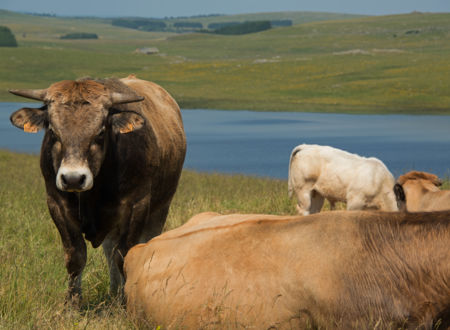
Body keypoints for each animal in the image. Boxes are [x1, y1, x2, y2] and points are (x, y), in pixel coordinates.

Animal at [10, 75, 186, 304]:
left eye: (101, 132)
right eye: (53, 131)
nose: (73, 178)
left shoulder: (136, 205)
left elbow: (124, 255)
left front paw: (124, 302)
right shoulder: (56, 204)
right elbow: (76, 256)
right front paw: (72, 303)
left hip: (160, 209)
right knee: (109, 250)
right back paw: (113, 290)